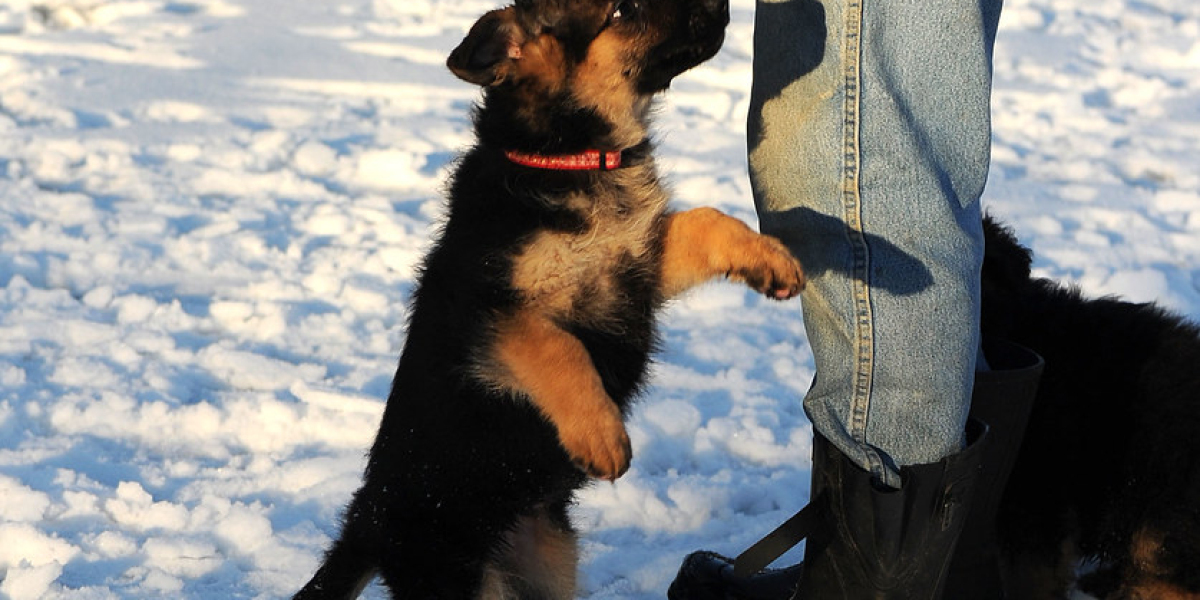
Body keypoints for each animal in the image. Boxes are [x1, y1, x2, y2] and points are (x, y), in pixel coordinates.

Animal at [288, 1, 806, 600]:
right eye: (622, 11)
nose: (723, 8)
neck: (570, 157)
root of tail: (367, 520)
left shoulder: (636, 266)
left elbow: (706, 221)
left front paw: (770, 259)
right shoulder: (494, 312)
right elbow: (557, 345)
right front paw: (601, 435)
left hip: (547, 559)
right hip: (456, 574)